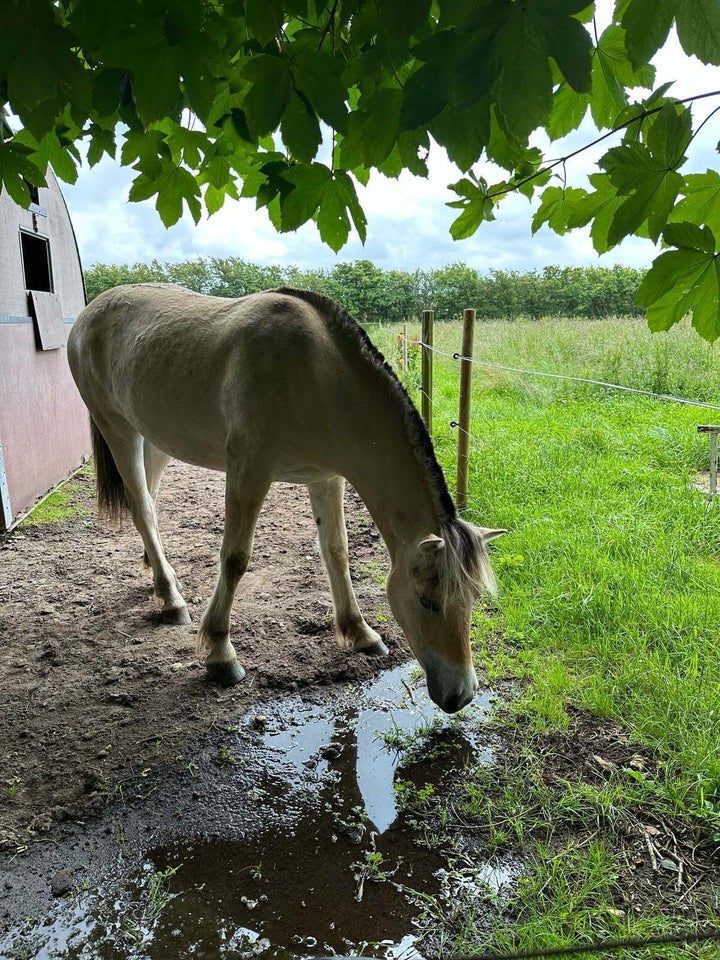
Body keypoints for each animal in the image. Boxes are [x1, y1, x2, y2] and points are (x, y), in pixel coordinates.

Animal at [69, 284, 506, 712]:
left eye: (473, 599)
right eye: (428, 601)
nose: (460, 695)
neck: (317, 373)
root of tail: (90, 313)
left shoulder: (327, 478)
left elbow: (336, 551)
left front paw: (360, 632)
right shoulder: (248, 471)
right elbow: (235, 559)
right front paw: (221, 655)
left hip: (157, 439)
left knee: (151, 502)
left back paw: (161, 580)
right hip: (119, 429)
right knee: (142, 509)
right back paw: (172, 601)